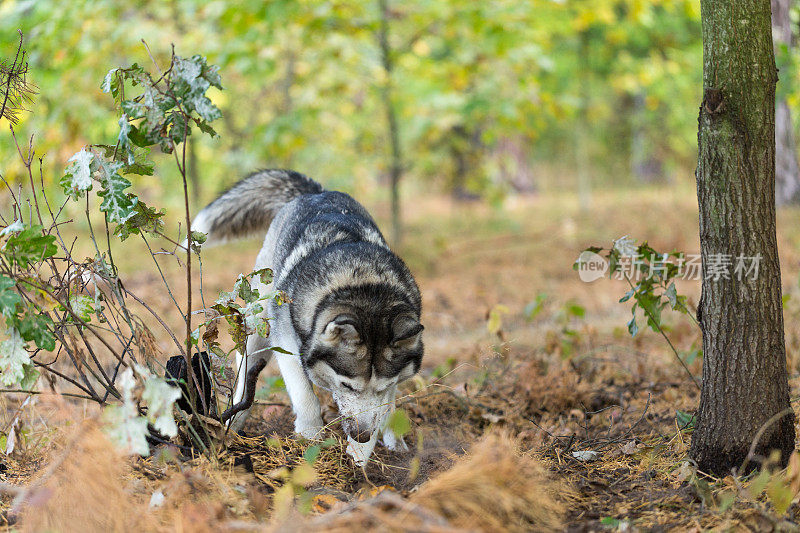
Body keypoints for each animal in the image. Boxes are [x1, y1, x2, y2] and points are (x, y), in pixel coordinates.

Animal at [191, 169, 422, 462]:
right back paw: (234, 422)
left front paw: (359, 456)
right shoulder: (286, 344)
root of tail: (316, 192)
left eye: (381, 387)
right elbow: (305, 396)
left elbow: (382, 408)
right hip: (258, 323)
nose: (362, 434)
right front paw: (310, 437)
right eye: (347, 386)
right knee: (245, 376)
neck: (365, 285)